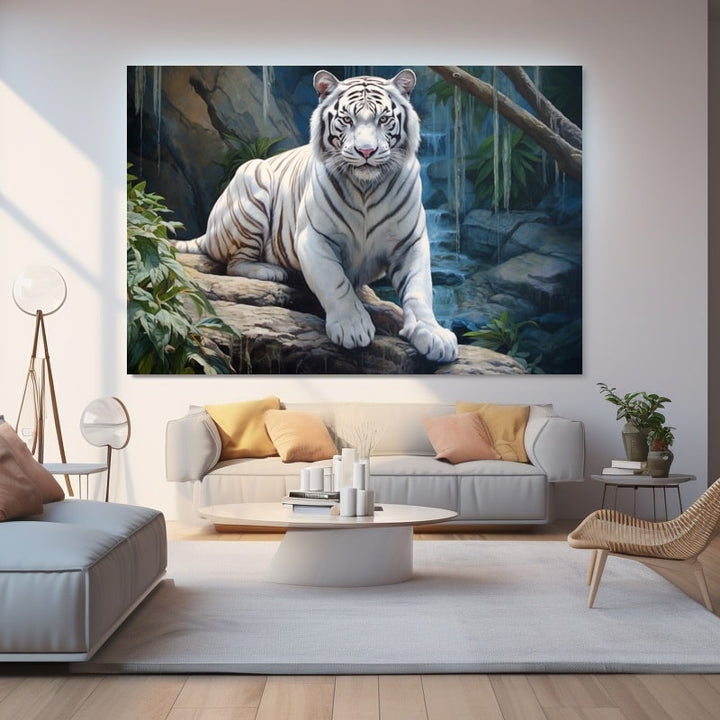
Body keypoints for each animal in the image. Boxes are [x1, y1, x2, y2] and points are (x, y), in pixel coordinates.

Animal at [175, 68, 459, 363]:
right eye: (347, 120)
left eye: (383, 119)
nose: (366, 151)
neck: (366, 188)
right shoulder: (314, 237)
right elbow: (336, 282)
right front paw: (352, 327)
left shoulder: (410, 243)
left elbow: (419, 290)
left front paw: (434, 335)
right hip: (252, 181)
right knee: (234, 263)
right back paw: (270, 270)